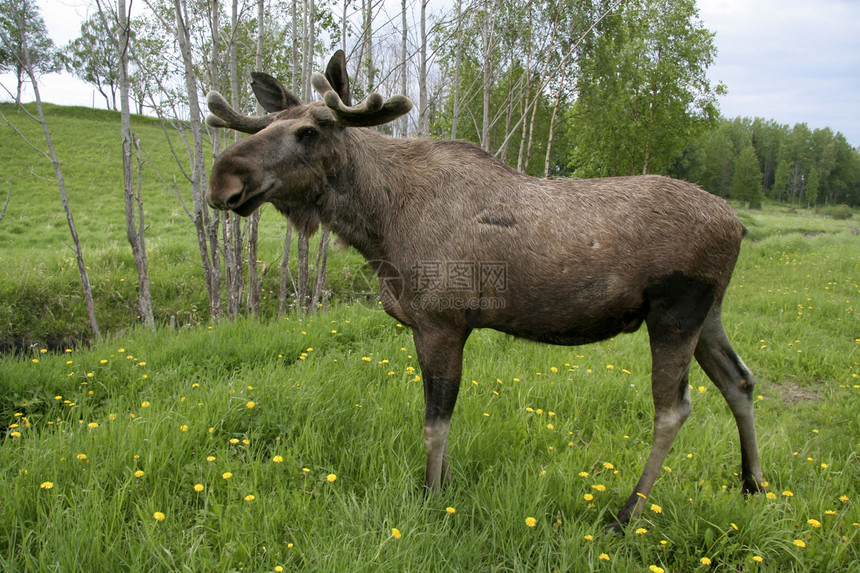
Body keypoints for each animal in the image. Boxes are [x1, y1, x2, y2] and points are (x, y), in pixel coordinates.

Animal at [205, 51, 764, 528]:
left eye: (307, 132)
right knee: (739, 380)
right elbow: (440, 419)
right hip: (709, 312)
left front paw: (432, 497)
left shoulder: (442, 322)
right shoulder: (432, 327)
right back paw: (753, 485)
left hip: (675, 312)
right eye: (264, 125)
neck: (378, 226)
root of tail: (737, 225)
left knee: (673, 409)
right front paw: (448, 488)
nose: (222, 181)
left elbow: (435, 423)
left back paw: (627, 514)